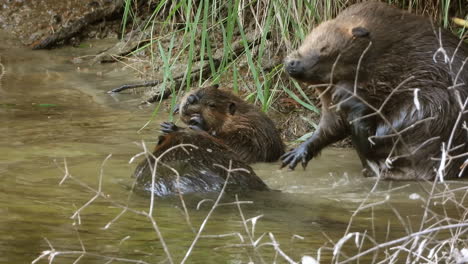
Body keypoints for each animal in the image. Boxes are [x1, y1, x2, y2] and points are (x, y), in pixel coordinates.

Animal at [282, 1, 468, 179]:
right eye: (307, 40)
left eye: (324, 48)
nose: (291, 63)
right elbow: (332, 124)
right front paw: (295, 154)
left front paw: (348, 93)